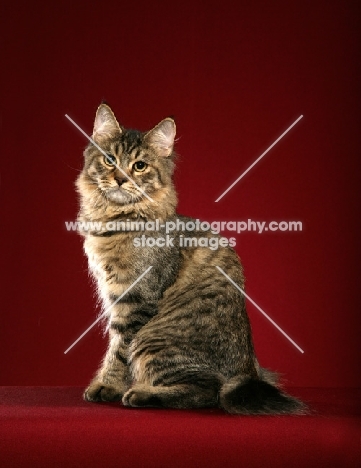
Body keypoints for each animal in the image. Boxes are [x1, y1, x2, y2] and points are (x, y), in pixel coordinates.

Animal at [74, 104, 306, 414]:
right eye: (110, 160)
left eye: (139, 166)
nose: (121, 179)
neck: (115, 220)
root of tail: (248, 372)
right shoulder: (112, 294)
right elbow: (113, 345)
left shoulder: (135, 298)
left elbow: (118, 350)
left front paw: (106, 386)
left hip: (155, 338)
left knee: (209, 391)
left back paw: (142, 394)